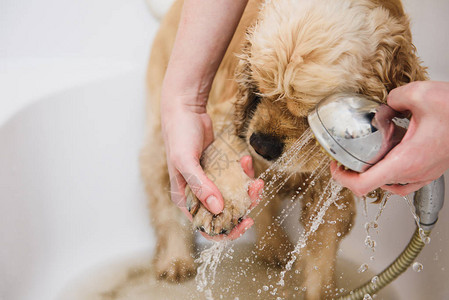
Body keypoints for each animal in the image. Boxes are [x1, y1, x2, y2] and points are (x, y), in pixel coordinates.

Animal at [140, 0, 428, 298]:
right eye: (258, 87)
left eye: (310, 111)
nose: (261, 145)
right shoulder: (228, 115)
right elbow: (223, 152)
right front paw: (219, 207)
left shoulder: (332, 188)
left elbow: (321, 255)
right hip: (163, 132)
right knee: (164, 201)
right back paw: (175, 261)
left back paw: (274, 248)